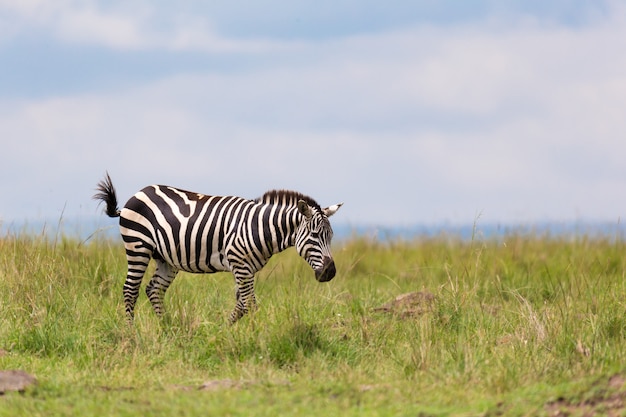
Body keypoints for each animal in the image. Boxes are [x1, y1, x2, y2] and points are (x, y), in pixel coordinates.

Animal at [92, 172, 342, 322]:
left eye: (331, 237)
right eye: (314, 235)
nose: (330, 273)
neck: (259, 226)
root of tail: (138, 193)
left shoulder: (245, 268)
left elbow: (241, 304)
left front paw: (226, 330)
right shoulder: (240, 264)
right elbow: (249, 303)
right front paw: (258, 335)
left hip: (166, 259)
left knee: (153, 290)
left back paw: (168, 329)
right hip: (138, 246)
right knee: (130, 290)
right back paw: (131, 333)